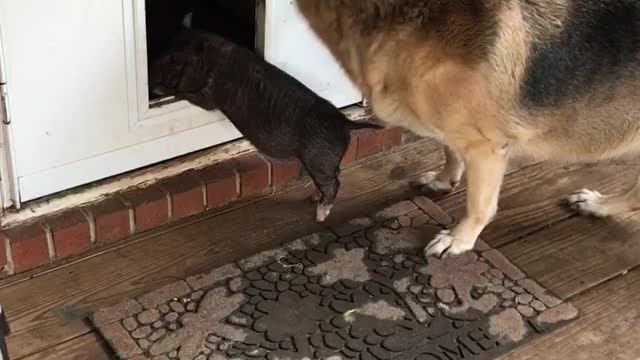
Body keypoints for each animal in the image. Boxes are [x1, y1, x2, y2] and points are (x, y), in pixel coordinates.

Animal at [296, 1, 640, 258]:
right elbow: (449, 149)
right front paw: (445, 179)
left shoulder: (487, 147)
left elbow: (478, 205)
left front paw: (459, 239)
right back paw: (599, 206)